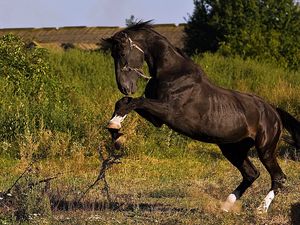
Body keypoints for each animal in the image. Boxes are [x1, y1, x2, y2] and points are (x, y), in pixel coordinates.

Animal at [103, 21, 300, 213]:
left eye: (122, 52)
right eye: (113, 54)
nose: (125, 87)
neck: (172, 73)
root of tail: (273, 111)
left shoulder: (168, 111)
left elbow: (136, 102)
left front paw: (115, 128)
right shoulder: (157, 119)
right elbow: (125, 102)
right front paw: (116, 131)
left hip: (265, 149)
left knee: (278, 177)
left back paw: (261, 209)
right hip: (233, 149)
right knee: (251, 174)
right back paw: (226, 206)